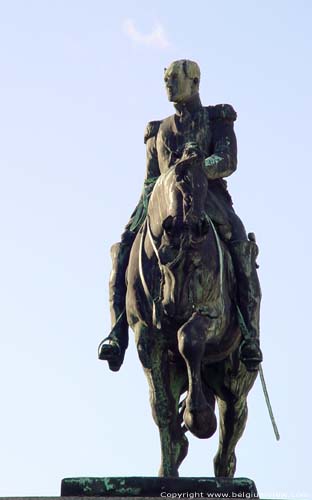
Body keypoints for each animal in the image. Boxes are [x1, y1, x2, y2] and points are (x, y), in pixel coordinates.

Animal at [125, 156, 258, 476]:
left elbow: (190, 338)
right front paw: (168, 470)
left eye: (203, 183)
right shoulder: (146, 338)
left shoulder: (213, 316)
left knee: (228, 444)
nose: (197, 224)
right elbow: (161, 409)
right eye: (182, 181)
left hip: (235, 383)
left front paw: (198, 416)